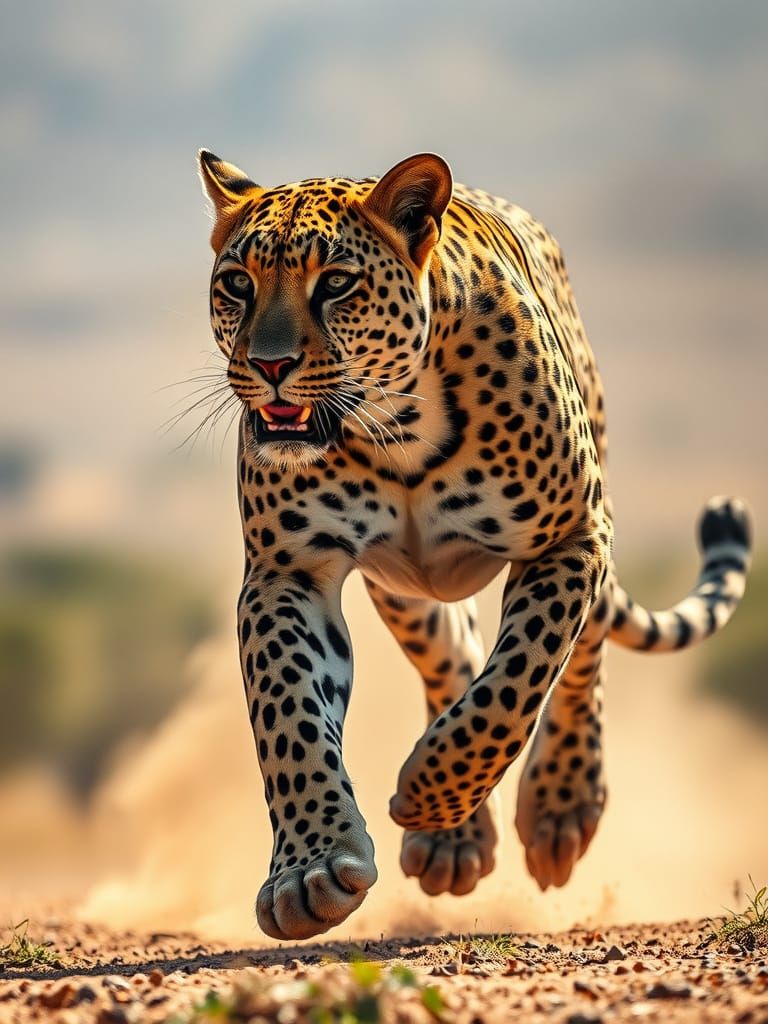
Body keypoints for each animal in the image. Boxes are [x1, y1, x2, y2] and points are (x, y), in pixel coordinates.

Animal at [197, 149, 752, 941]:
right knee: (450, 659)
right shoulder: (287, 573)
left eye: (335, 283)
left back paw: (559, 805)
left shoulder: (568, 538)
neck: (395, 425)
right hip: (408, 591)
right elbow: (290, 719)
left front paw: (431, 797)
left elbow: (514, 686)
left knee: (579, 657)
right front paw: (311, 868)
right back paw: (453, 842)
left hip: (592, 519)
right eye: (238, 285)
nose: (271, 365)